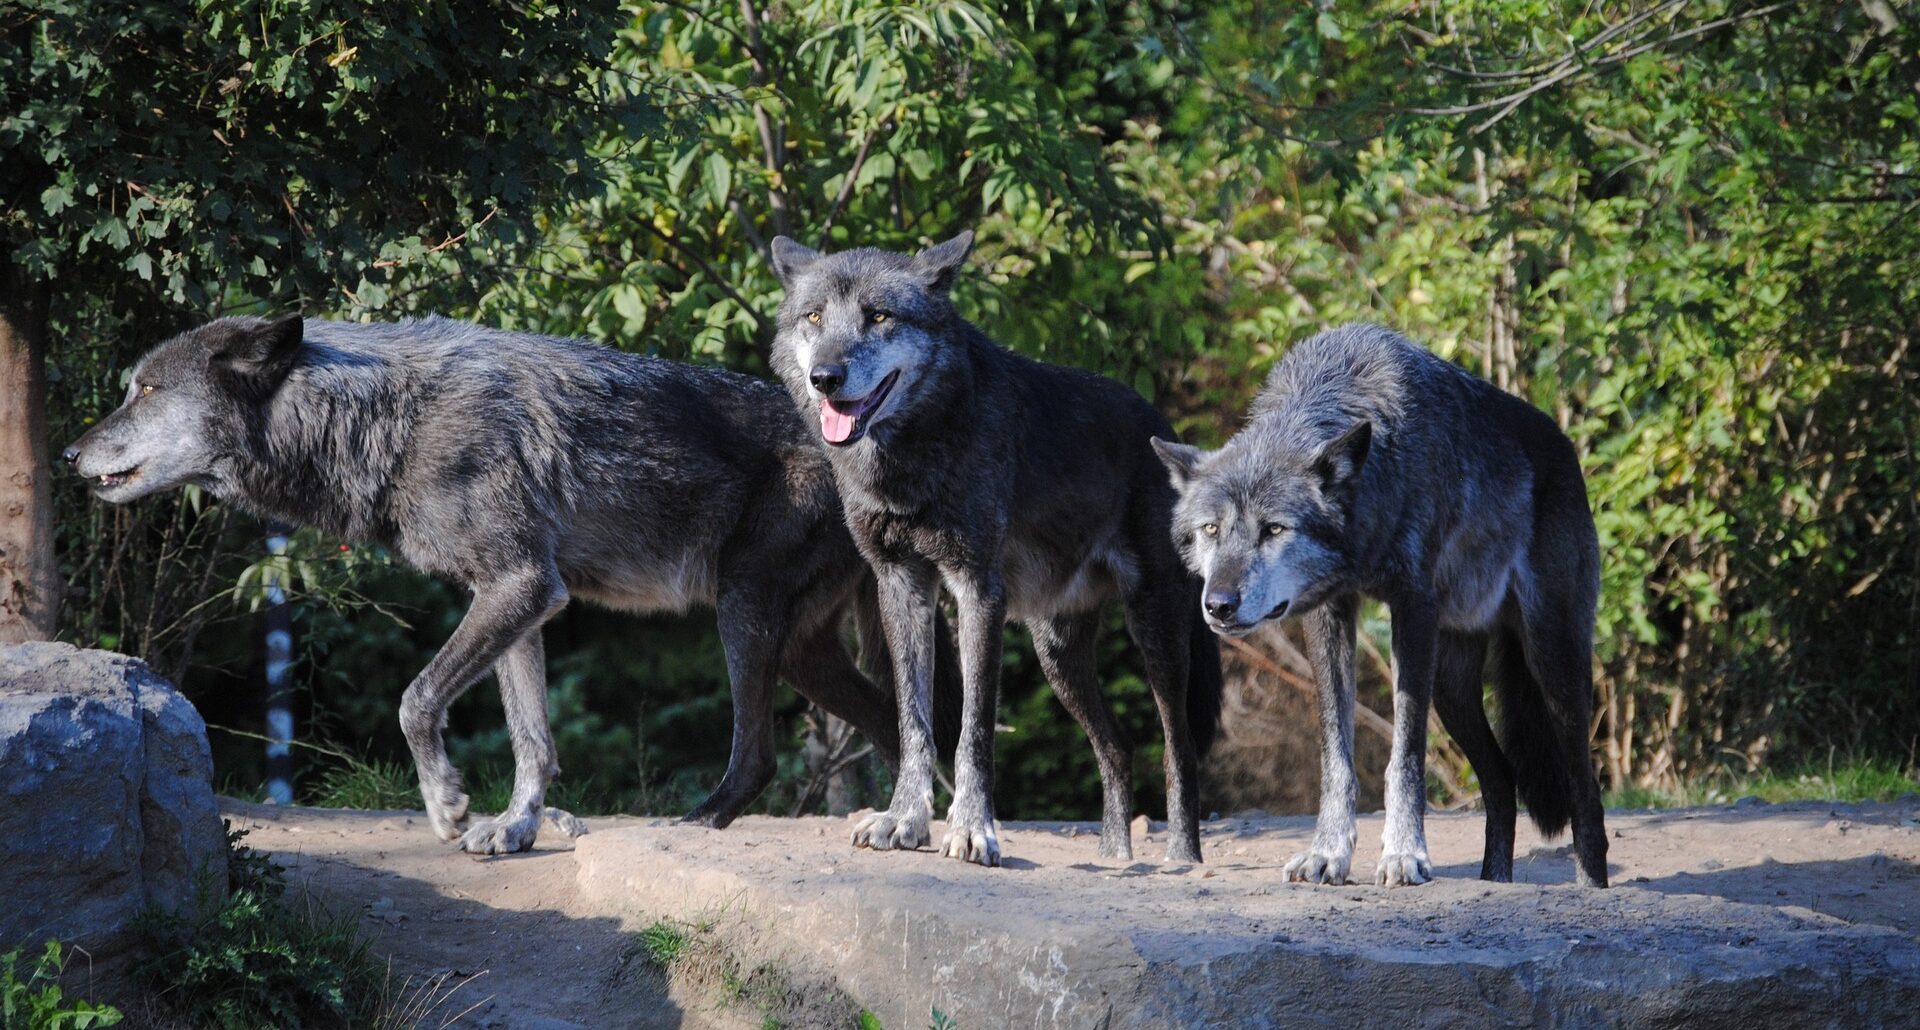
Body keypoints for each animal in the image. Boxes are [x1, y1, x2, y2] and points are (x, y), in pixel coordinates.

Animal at [67, 311, 952, 853]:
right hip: (803, 652)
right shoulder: (519, 600)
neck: (387, 419)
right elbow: (533, 738)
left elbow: (415, 699)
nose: (71, 455)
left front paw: (446, 804)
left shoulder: (519, 585)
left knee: (763, 753)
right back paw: (909, 820)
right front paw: (516, 826)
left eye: (146, 390)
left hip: (742, 615)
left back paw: (706, 820)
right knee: (895, 720)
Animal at [760, 229, 1221, 864]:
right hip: (1058, 655)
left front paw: (972, 830)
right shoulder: (902, 586)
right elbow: (914, 720)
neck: (915, 457)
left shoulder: (978, 589)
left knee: (1177, 749)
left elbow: (973, 728)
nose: (825, 378)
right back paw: (1114, 858)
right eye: (813, 316)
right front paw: (904, 820)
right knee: (1118, 746)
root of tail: (1167, 429)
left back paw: (1181, 859)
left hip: (1158, 635)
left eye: (879, 316)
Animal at [1144, 328, 1612, 883]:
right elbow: (1336, 756)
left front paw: (1404, 854)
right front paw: (1327, 854)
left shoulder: (1413, 608)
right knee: (1501, 780)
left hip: (1552, 662)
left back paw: (1589, 886)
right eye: (1211, 529)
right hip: (1452, 689)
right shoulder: (1328, 613)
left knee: (1586, 792)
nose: (1218, 605)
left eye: (1274, 529)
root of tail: (1565, 446)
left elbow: (1404, 754)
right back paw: (1494, 880)